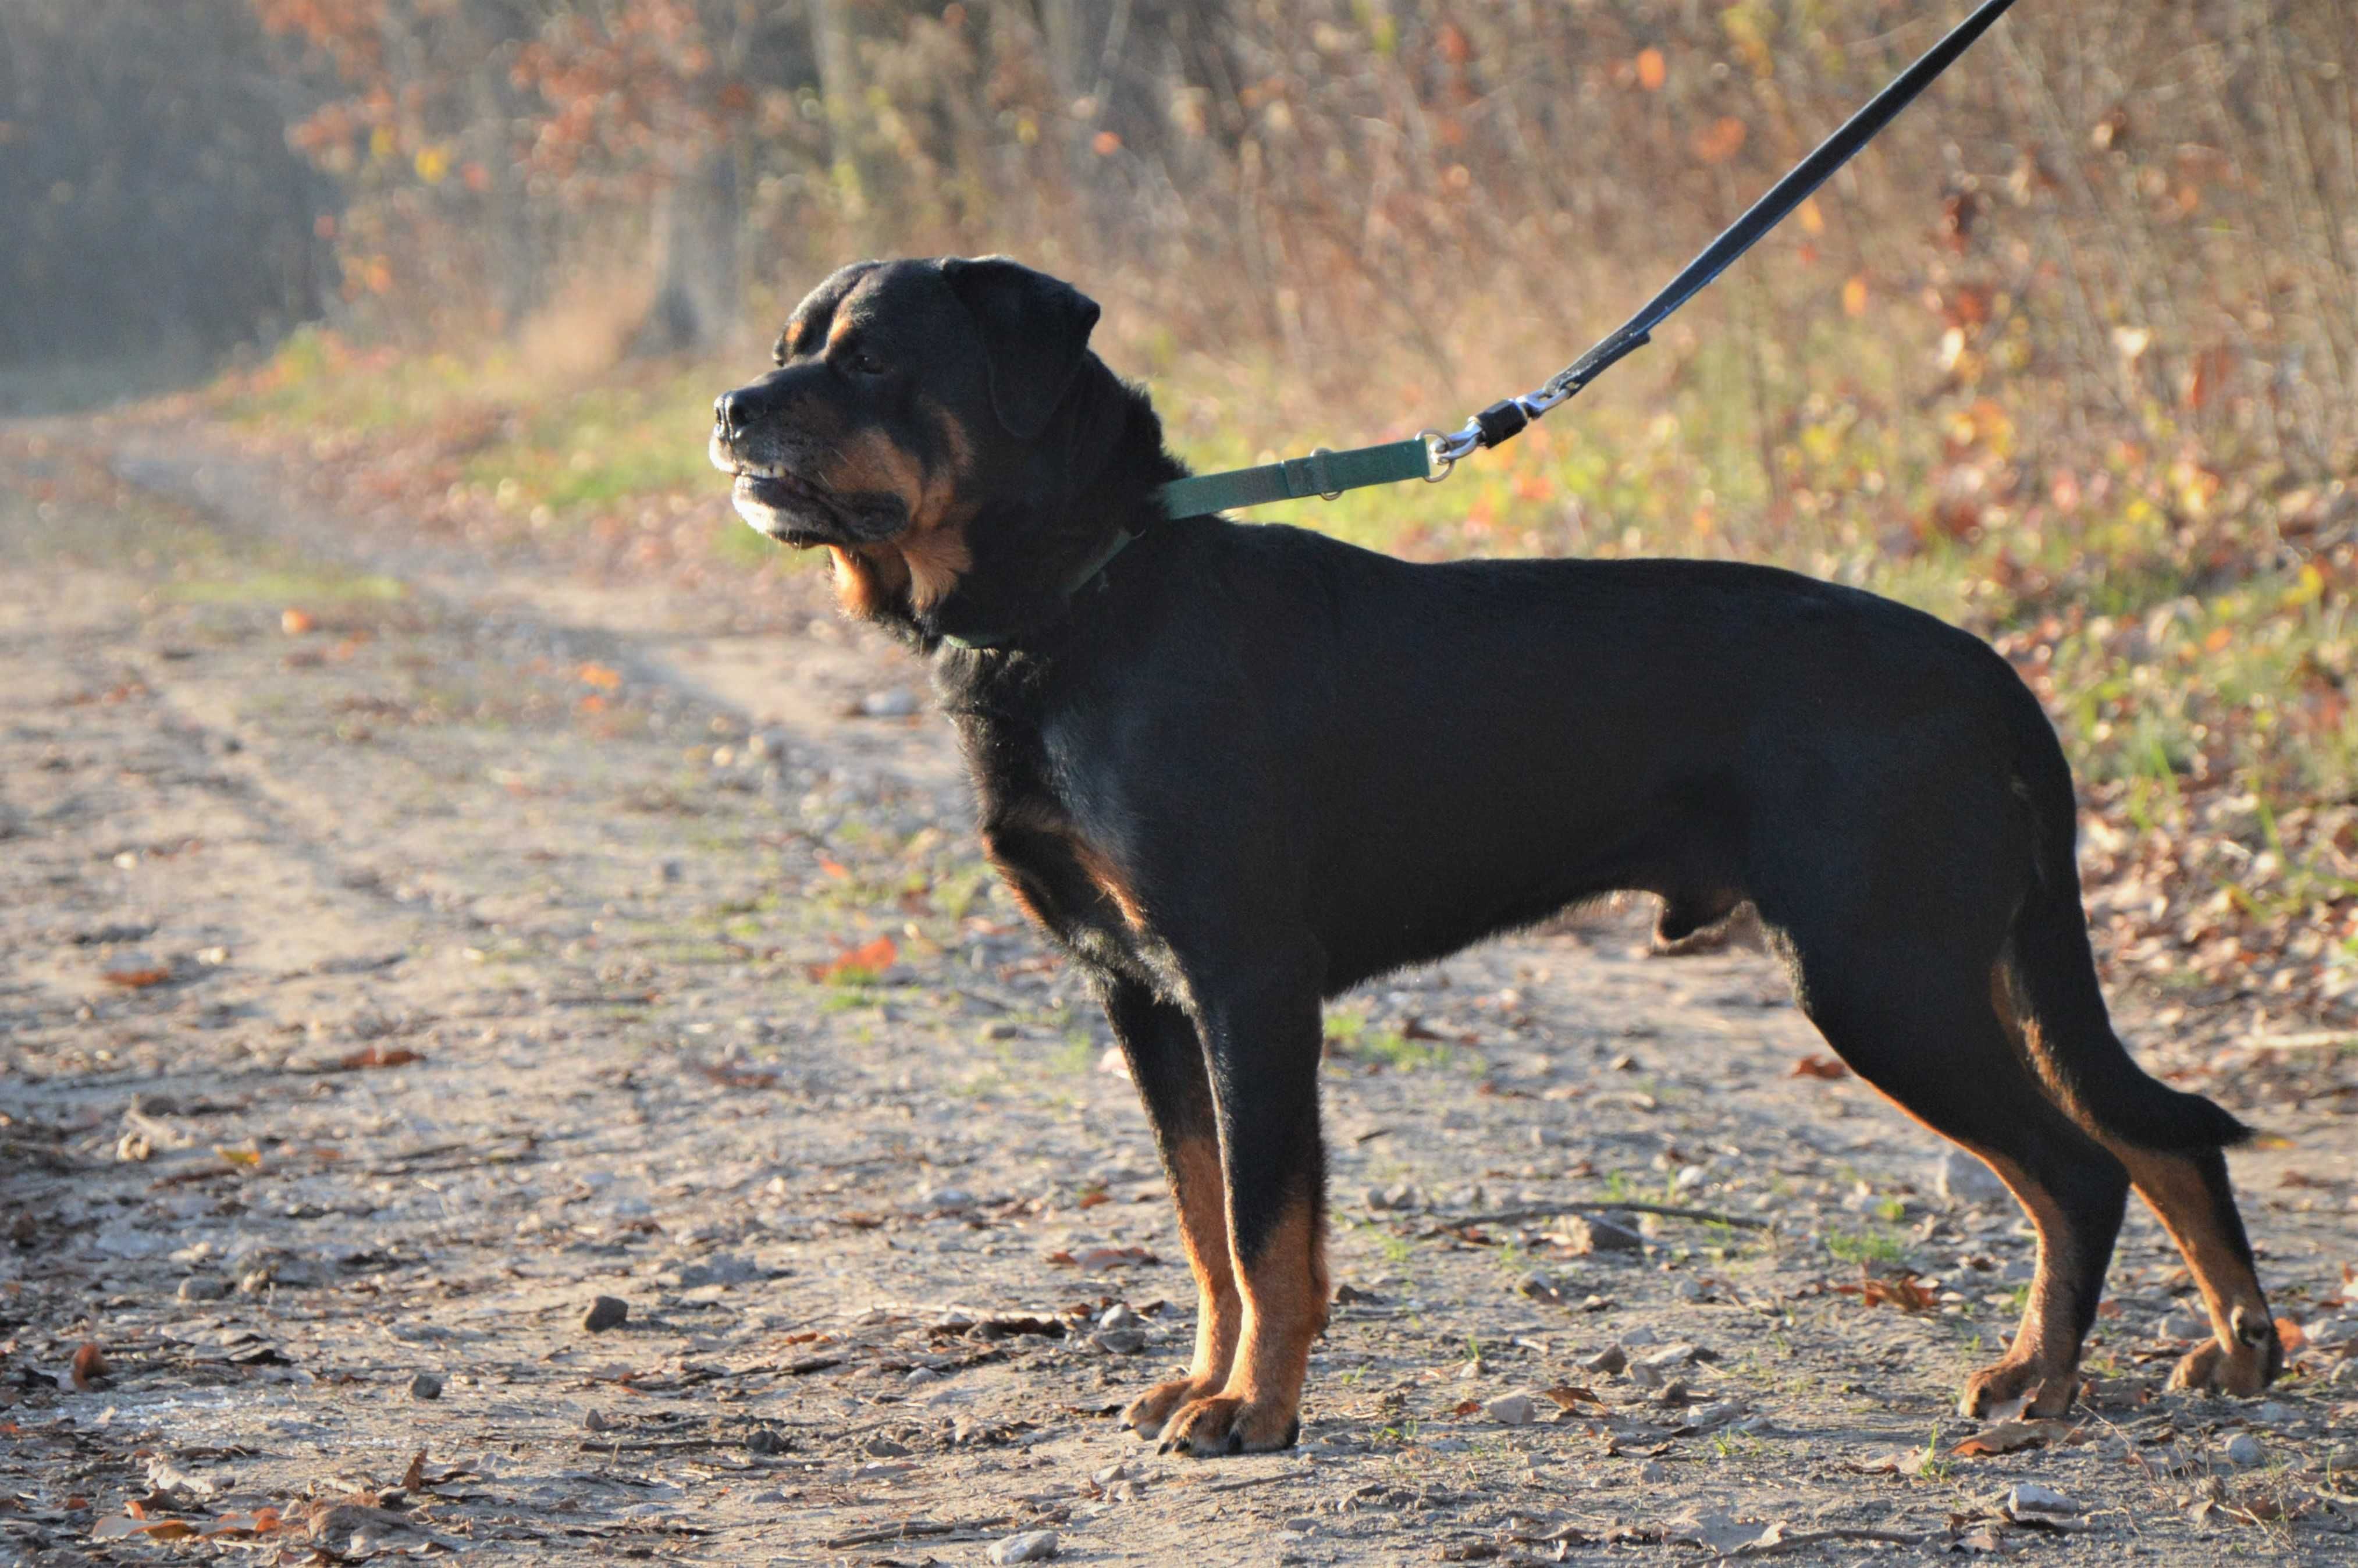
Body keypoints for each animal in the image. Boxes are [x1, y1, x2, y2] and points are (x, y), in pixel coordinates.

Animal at [707, 257, 2273, 1452]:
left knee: (2078, 1168)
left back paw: (2043, 1380)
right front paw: (1212, 1381)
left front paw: (1254, 1414)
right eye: (787, 348)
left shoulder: (1247, 986)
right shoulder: (1141, 995)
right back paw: (2242, 1347)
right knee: (2163, 1132)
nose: (724, 407)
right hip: (1977, 959)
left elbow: (1267, 1228)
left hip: (1884, 975)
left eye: (867, 359)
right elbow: (1207, 1225)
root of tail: (1988, 673)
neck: (1086, 600)